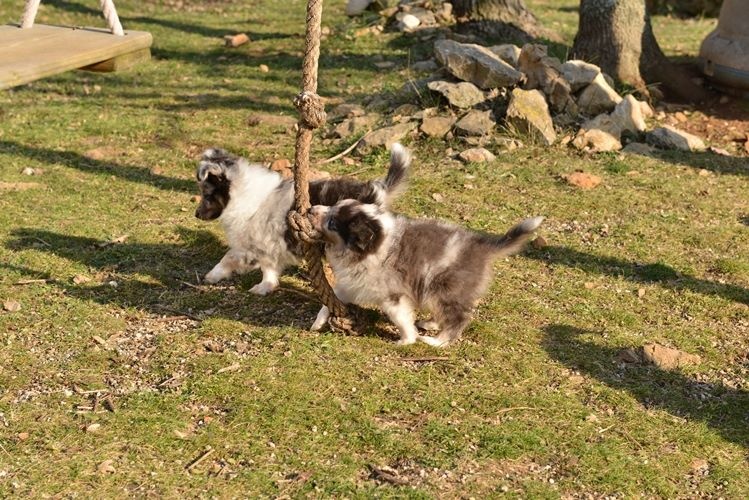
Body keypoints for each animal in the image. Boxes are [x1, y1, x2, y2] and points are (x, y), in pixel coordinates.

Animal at [193, 143, 410, 294]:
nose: (196, 214)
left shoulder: (253, 246)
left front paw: (212, 276)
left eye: (207, 195)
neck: (243, 194)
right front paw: (266, 287)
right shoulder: (268, 249)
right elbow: (269, 270)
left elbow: (228, 258)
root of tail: (376, 192)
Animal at [306, 200, 540, 348]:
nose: (310, 209)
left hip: (445, 290)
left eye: (333, 223)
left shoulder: (393, 297)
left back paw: (436, 342)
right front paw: (317, 324)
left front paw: (406, 341)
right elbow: (328, 302)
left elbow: (401, 319)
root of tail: (481, 248)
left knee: (458, 319)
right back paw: (430, 324)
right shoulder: (351, 285)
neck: (375, 246)